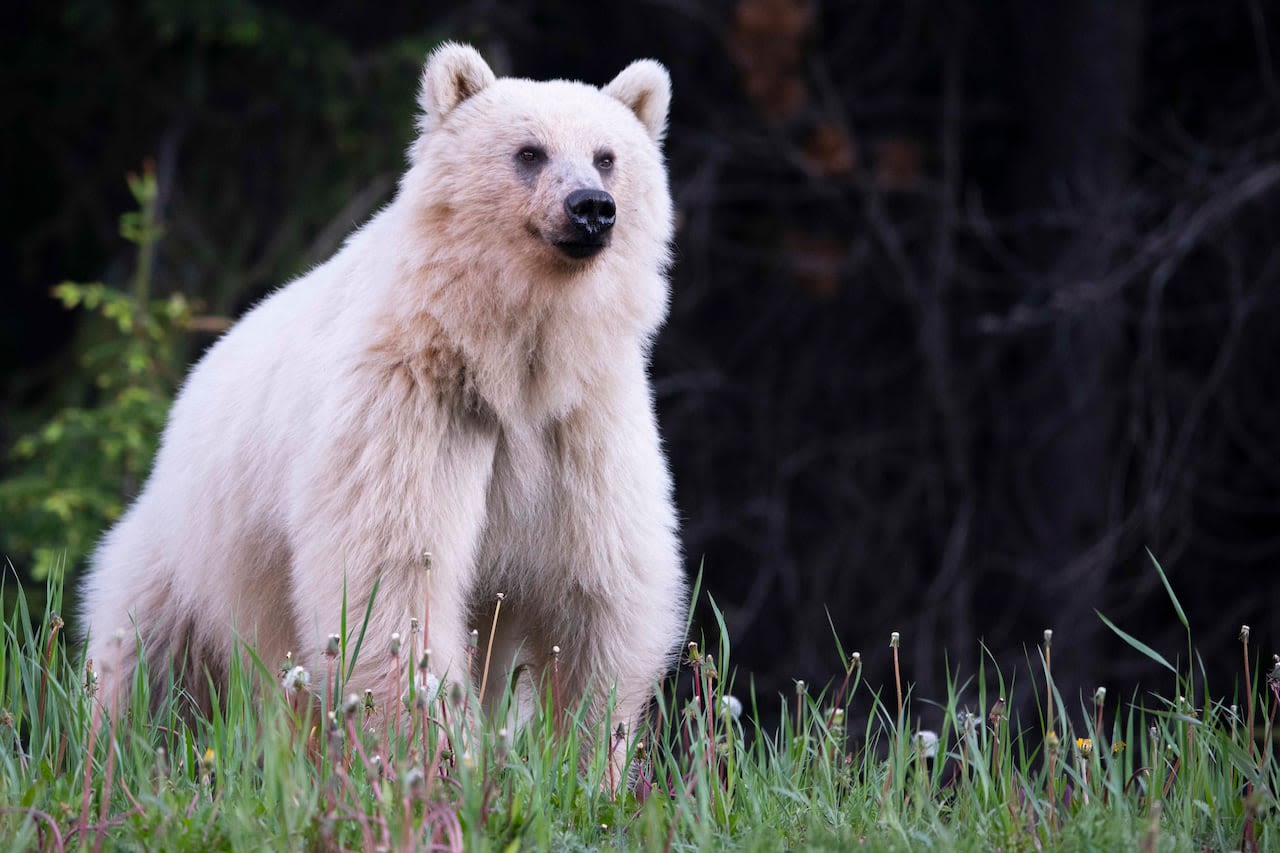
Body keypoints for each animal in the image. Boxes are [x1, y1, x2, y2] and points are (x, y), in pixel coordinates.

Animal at [78, 43, 686, 753]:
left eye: (607, 156)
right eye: (530, 151)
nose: (592, 206)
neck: (509, 360)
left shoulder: (583, 424)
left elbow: (600, 592)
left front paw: (584, 755)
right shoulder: (409, 405)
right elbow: (393, 578)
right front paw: (436, 753)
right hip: (187, 553)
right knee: (145, 660)